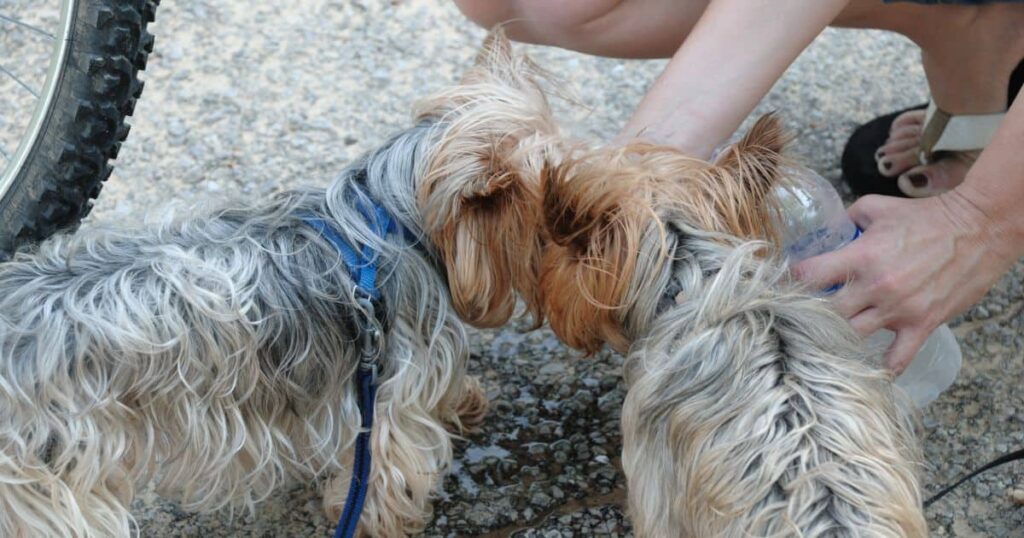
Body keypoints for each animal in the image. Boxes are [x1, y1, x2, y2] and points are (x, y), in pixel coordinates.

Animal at [0, 34, 561, 536]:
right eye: (548, 201)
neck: (390, 211)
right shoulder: (390, 387)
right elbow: (386, 465)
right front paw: (375, 521)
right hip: (50, 478)